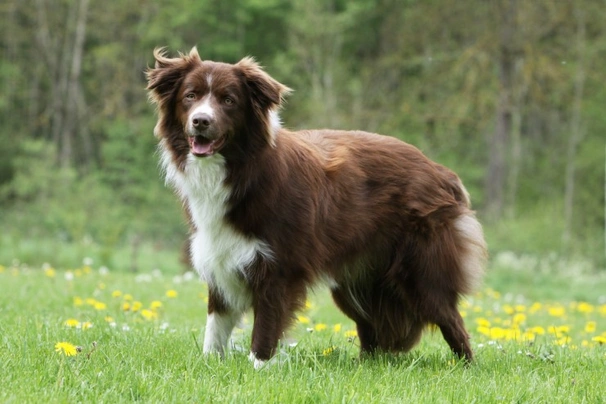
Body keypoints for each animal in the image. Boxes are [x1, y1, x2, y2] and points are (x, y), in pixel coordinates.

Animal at [146, 45, 490, 368]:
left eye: (228, 100)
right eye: (190, 96)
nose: (200, 121)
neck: (240, 169)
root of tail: (442, 171)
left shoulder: (279, 264)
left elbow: (267, 323)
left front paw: (258, 366)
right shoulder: (220, 252)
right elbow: (216, 324)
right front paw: (209, 364)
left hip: (419, 268)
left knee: (449, 316)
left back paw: (465, 366)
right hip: (359, 279)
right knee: (371, 325)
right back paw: (367, 365)